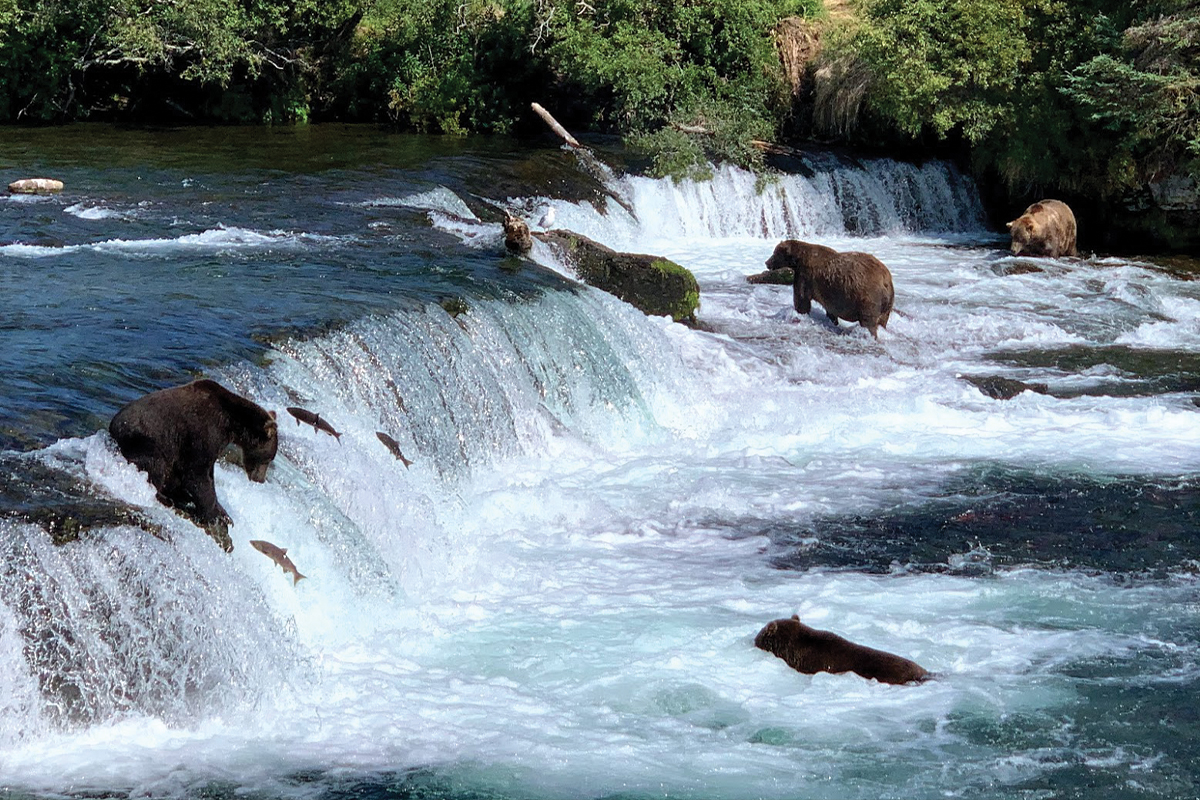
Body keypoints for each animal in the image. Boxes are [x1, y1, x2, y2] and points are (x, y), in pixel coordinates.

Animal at [107, 381, 276, 554]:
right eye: (268, 459)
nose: (260, 479)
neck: (230, 423)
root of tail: (111, 430)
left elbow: (207, 474)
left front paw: (225, 514)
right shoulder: (200, 432)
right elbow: (196, 475)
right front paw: (215, 516)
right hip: (143, 441)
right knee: (156, 465)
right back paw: (165, 497)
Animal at [763, 237, 897, 338]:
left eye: (775, 253)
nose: (767, 262)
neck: (798, 260)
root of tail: (886, 280)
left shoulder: (805, 276)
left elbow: (801, 299)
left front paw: (799, 312)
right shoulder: (829, 293)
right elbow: (830, 309)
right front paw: (832, 320)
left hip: (868, 296)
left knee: (868, 321)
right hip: (888, 303)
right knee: (883, 320)